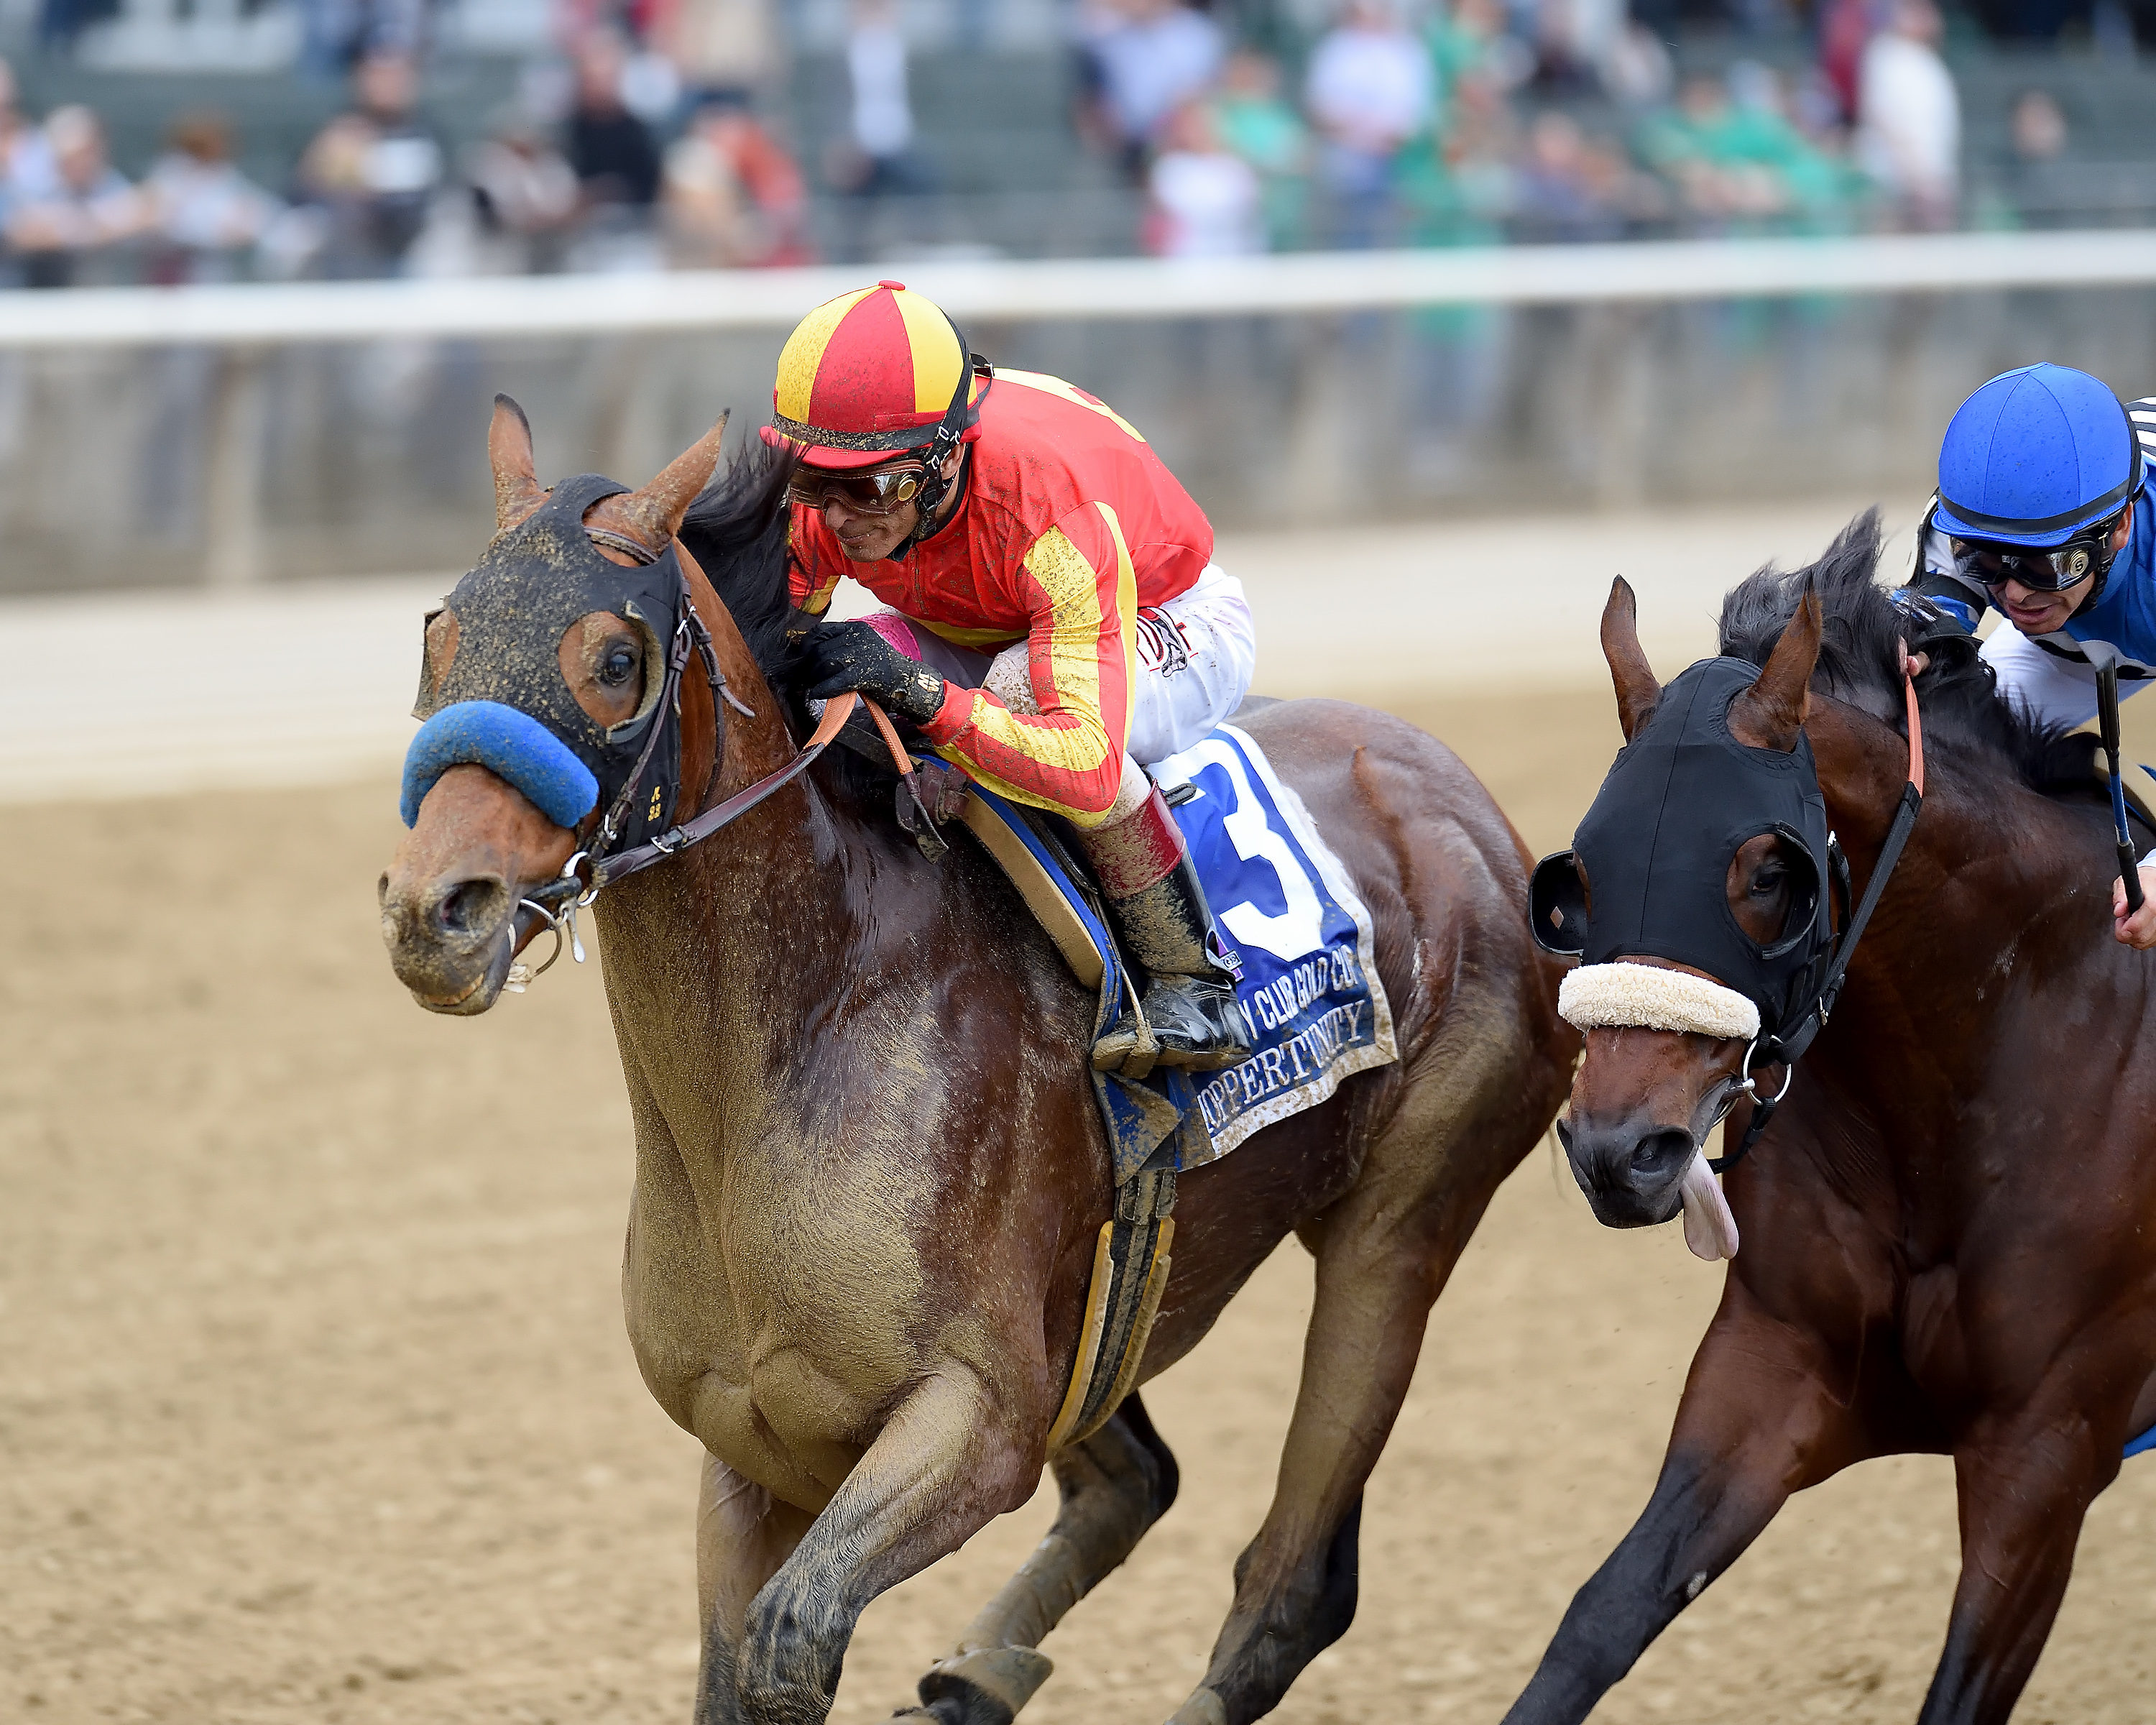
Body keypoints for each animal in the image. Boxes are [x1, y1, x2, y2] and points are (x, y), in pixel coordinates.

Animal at [379, 408, 1578, 1725]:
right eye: (438, 632)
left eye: (611, 659)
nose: (434, 912)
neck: (798, 1044)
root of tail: (1466, 800)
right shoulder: (751, 1448)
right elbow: (736, 1673)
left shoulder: (979, 1417)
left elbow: (790, 1640)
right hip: (1099, 1309)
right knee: (1139, 1480)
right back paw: (974, 1674)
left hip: (1396, 1230)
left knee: (1291, 1583)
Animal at [1509, 505, 2156, 1716]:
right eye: (1580, 879)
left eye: (1772, 874)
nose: (1620, 1153)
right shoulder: (1770, 1372)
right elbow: (1595, 1624)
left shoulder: (2046, 1448)